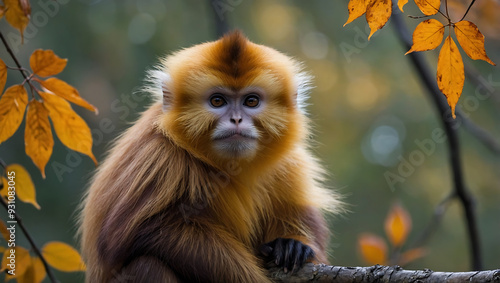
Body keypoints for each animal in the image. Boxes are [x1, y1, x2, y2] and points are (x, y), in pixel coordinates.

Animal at [79, 30, 344, 282]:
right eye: (217, 101)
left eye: (251, 101)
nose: (236, 119)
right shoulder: (159, 154)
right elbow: (136, 231)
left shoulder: (288, 163)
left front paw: (292, 244)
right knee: (146, 265)